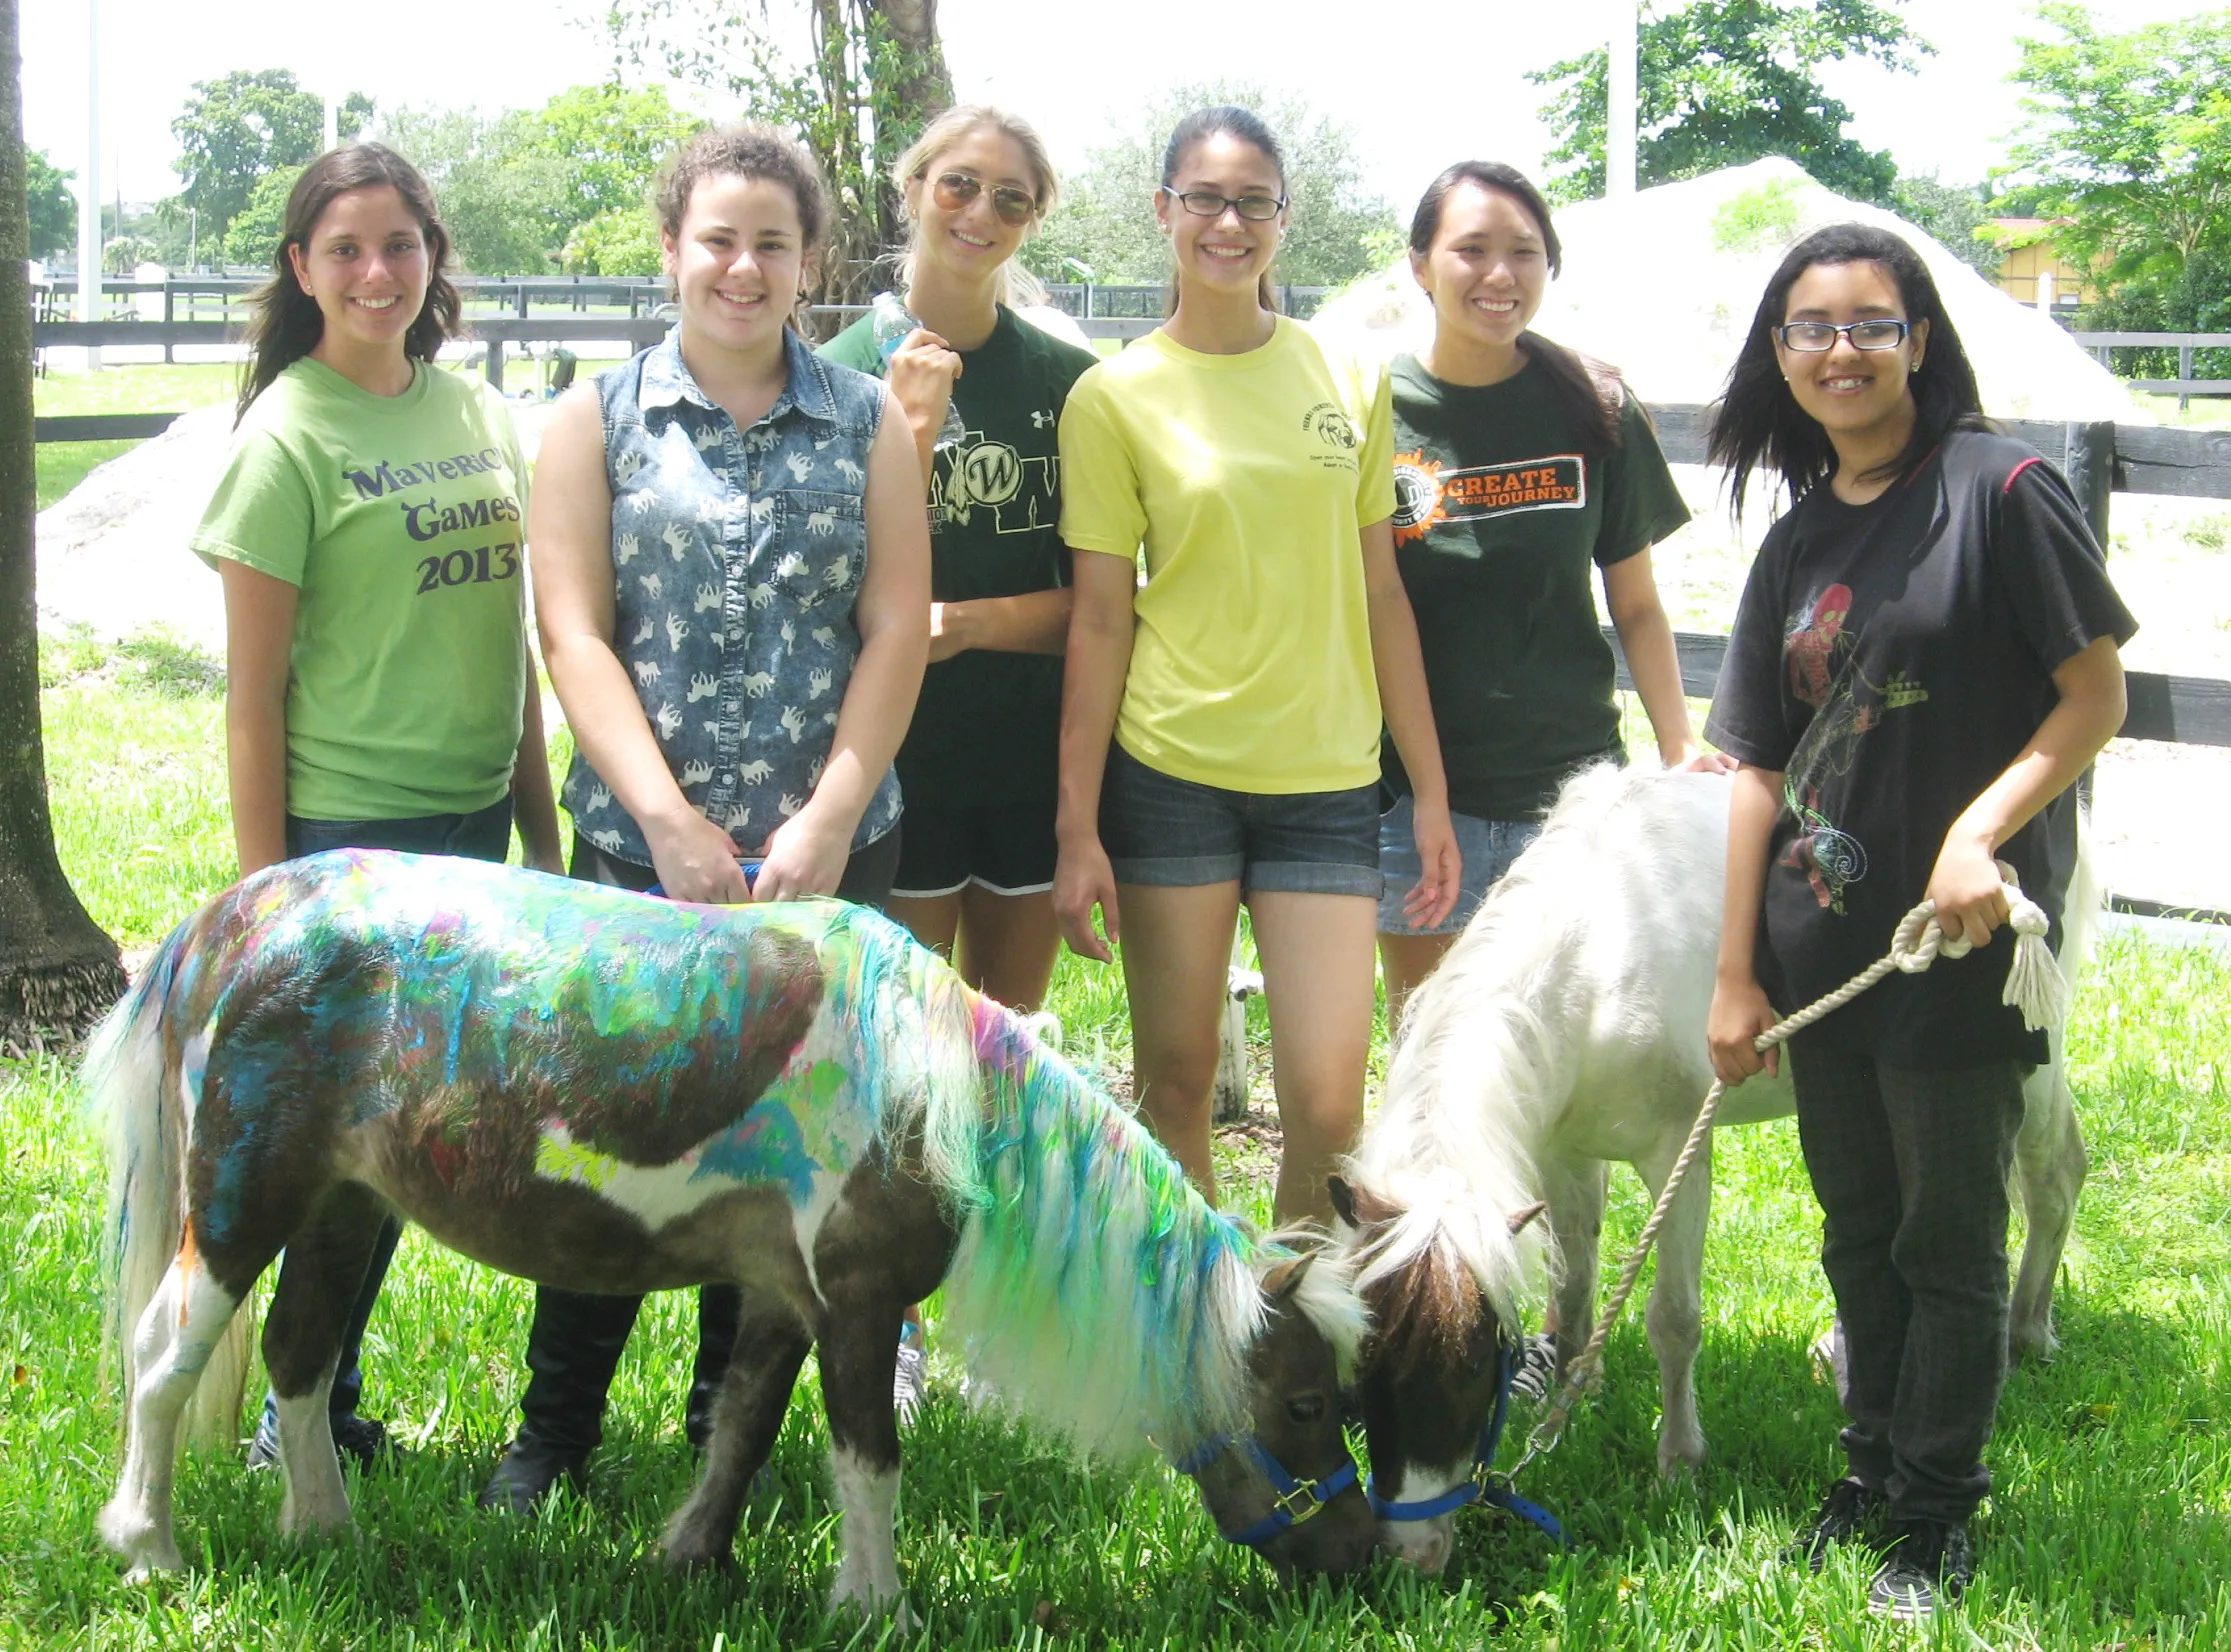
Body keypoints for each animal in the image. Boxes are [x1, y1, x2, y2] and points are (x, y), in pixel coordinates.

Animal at [87, 851, 1377, 1615]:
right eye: (1306, 1401)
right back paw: (148, 1543)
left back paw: (326, 1536)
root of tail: (236, 916)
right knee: (165, 1354)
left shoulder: (778, 1298)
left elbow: (741, 1430)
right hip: (241, 1201)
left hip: (345, 1210)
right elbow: (868, 1461)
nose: (1364, 1554)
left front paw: (691, 1561)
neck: (932, 1094)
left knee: (300, 1357)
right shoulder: (856, 1303)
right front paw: (875, 1607)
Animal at [1329, 765, 2092, 1572]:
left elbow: (1672, 1319)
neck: (1596, 956)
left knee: (2053, 1178)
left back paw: (2025, 1333)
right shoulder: (1564, 1154)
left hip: (2028, 1058)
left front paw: (1679, 1464)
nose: (1407, 1552)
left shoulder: (1678, 1156)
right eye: (1360, 1361)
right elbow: (1573, 1288)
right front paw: (1573, 1402)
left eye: (1475, 1364)